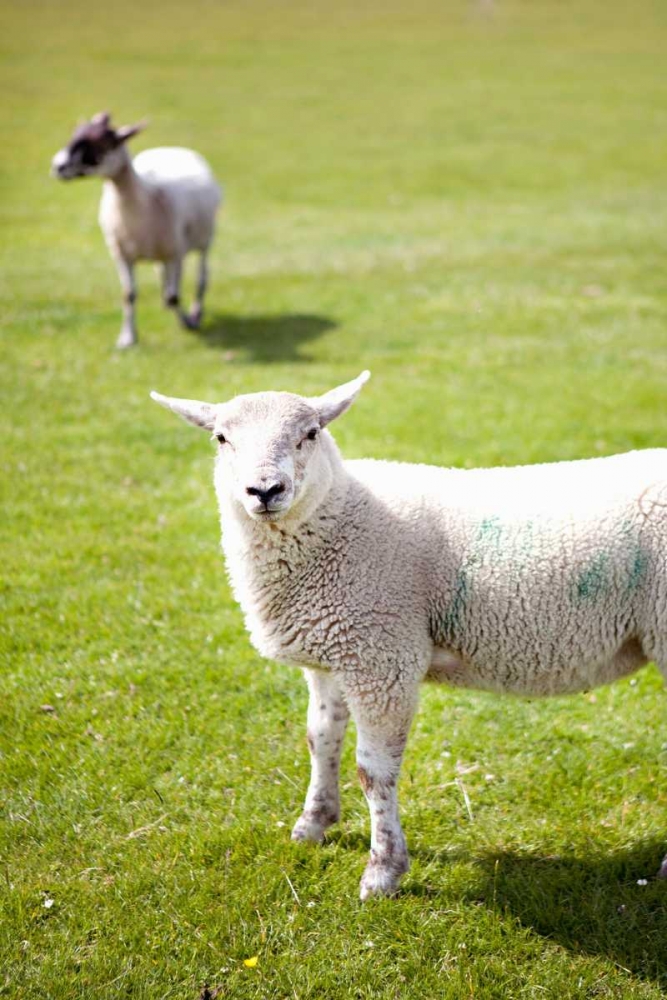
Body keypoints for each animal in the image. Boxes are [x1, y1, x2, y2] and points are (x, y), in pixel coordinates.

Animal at [52, 112, 221, 349]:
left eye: (103, 143)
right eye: (74, 135)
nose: (58, 166)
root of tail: (172, 148)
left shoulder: (174, 252)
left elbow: (174, 296)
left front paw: (187, 322)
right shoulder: (122, 254)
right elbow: (129, 294)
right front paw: (127, 337)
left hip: (202, 241)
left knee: (201, 278)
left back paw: (196, 312)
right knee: (164, 277)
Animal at [151, 372, 667, 899]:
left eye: (311, 433)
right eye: (221, 438)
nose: (265, 490)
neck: (340, 520)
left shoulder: (382, 656)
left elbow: (373, 772)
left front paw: (382, 871)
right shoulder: (332, 653)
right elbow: (320, 738)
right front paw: (314, 824)